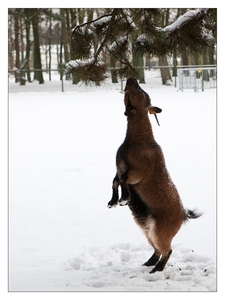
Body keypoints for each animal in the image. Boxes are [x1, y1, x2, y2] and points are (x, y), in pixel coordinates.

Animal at [107, 78, 202, 274]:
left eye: (145, 93)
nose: (132, 79)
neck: (140, 141)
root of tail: (183, 215)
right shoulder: (118, 168)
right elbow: (114, 181)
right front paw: (113, 202)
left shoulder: (138, 173)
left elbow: (123, 180)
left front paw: (124, 199)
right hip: (148, 230)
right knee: (158, 250)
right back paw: (149, 263)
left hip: (160, 232)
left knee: (167, 250)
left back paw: (156, 269)